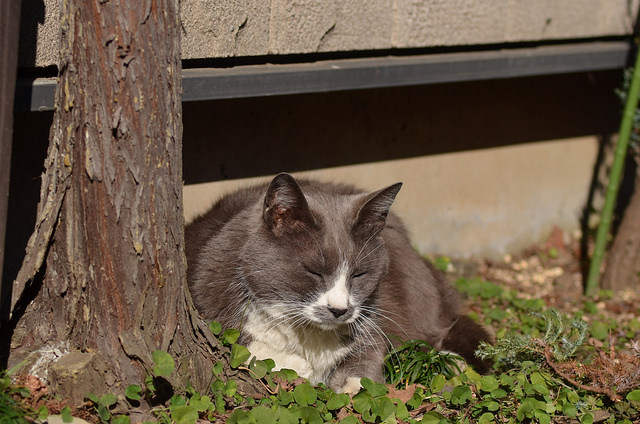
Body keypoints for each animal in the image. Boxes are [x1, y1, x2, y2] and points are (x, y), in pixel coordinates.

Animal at [185, 173, 490, 394]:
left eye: (358, 275)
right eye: (314, 272)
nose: (339, 309)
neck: (310, 336)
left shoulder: (374, 324)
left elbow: (365, 366)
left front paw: (354, 385)